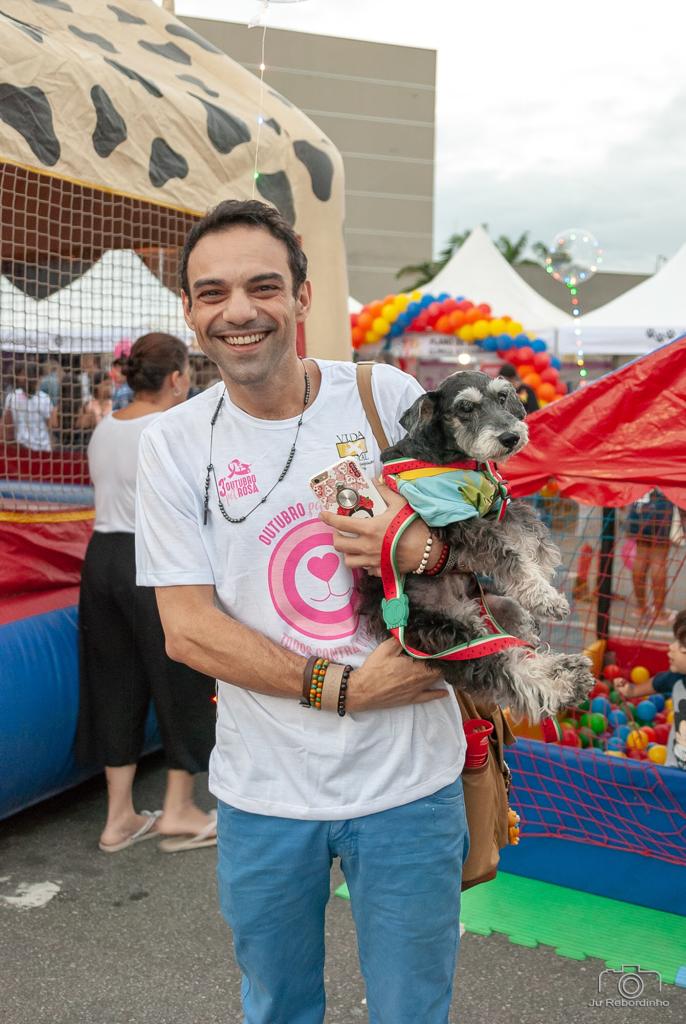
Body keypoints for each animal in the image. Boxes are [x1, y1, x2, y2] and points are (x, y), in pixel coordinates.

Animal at [360, 370, 597, 720]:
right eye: (465, 407)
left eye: (502, 397)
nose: (510, 437)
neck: (456, 461)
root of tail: (464, 611)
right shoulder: (456, 520)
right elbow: (508, 555)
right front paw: (545, 598)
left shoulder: (495, 504)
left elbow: (531, 533)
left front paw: (543, 575)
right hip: (445, 635)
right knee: (505, 669)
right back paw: (564, 683)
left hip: (501, 609)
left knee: (519, 646)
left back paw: (562, 667)